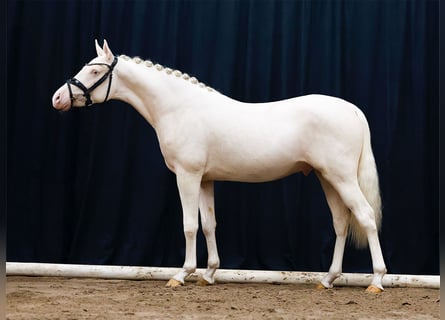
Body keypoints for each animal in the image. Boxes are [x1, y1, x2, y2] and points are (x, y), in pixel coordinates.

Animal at [51, 40, 386, 292]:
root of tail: (351, 109)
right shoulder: (205, 179)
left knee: (366, 216)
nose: (57, 98)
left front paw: (181, 274)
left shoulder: (187, 176)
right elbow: (209, 224)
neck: (180, 107)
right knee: (341, 223)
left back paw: (377, 280)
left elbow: (189, 225)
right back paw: (328, 279)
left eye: (95, 69)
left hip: (342, 178)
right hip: (327, 178)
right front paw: (209, 273)